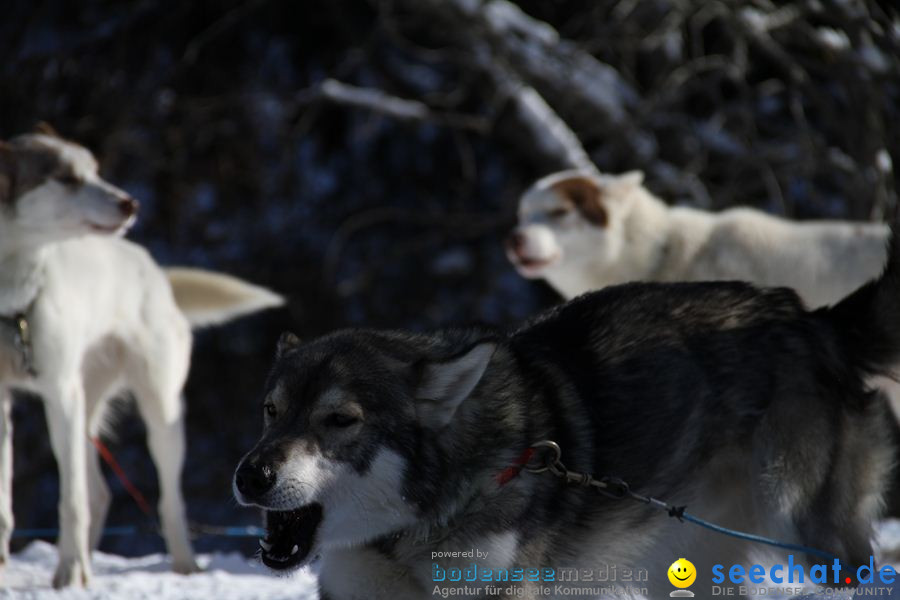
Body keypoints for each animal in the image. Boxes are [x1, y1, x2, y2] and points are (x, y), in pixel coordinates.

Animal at [0, 125, 284, 584]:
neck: (12, 300)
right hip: (84, 410)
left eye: (94, 169)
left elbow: (70, 500)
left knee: (165, 501)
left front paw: (70, 574)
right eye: (66, 178)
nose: (129, 203)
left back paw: (181, 565)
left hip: (155, 412)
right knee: (98, 494)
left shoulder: (59, 392)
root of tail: (155, 270)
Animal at [234, 232, 900, 596]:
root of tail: (807, 317)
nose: (250, 476)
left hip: (804, 526)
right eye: (271, 411)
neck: (408, 533)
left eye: (340, 420)